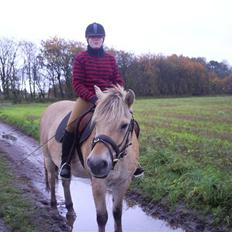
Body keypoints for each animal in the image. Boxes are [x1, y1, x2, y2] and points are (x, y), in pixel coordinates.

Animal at [39, 85, 140, 232]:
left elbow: (117, 214)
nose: (96, 164)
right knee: (52, 180)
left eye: (124, 125)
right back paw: (53, 205)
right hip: (48, 159)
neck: (118, 160)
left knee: (65, 182)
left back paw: (70, 209)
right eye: (95, 123)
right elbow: (102, 217)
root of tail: (51, 106)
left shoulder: (123, 183)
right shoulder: (98, 183)